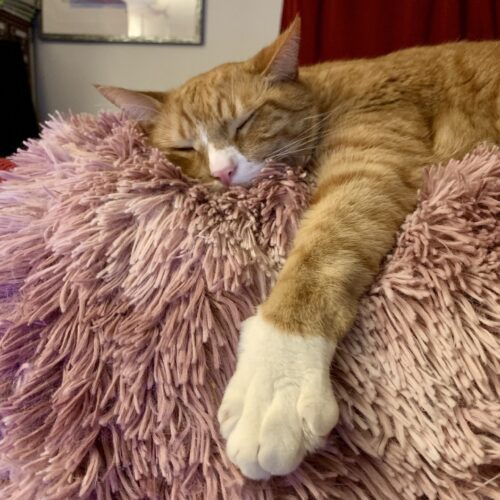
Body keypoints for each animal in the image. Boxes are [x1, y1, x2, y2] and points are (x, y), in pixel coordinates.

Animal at [97, 18, 500, 480]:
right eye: (184, 148)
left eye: (245, 122)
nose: (223, 172)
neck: (324, 92)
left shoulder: (368, 167)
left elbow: (318, 260)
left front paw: (276, 381)